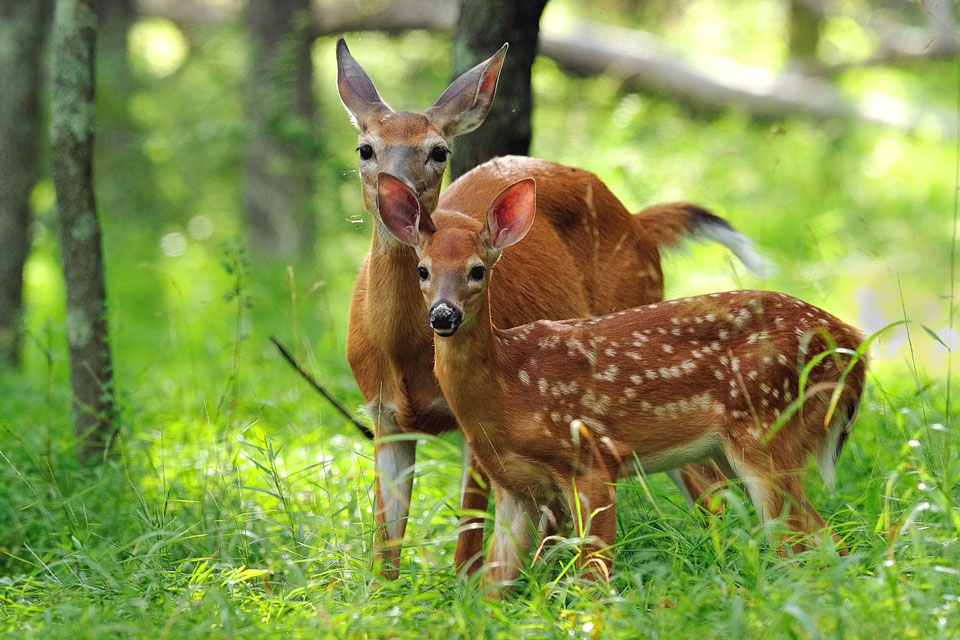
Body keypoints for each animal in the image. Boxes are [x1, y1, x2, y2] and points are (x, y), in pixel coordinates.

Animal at [338, 37, 772, 576]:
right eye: (365, 148)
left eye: (439, 151)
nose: (395, 198)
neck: (403, 357)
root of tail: (640, 223)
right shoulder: (382, 417)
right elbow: (386, 544)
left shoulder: (478, 419)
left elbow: (469, 532)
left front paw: (464, 589)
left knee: (709, 484)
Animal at [378, 172, 868, 592]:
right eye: (422, 270)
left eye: (477, 270)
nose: (443, 315)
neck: (509, 388)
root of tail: (854, 347)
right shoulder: (513, 486)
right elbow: (494, 588)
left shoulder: (591, 455)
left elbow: (593, 577)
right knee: (827, 542)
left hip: (766, 430)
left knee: (799, 543)